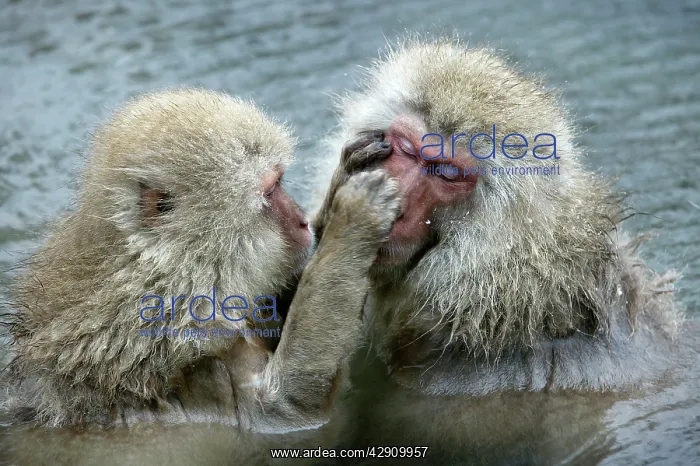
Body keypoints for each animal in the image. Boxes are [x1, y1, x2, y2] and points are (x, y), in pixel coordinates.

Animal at [2, 88, 401, 436]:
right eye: (271, 191)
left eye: (281, 182)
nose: (303, 222)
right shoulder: (174, 336)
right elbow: (287, 405)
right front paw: (353, 221)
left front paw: (346, 179)